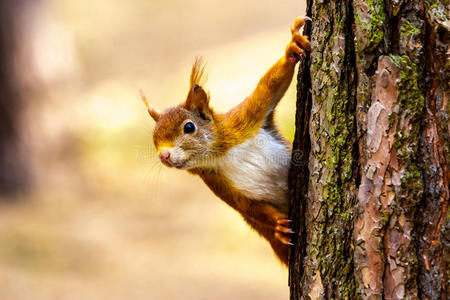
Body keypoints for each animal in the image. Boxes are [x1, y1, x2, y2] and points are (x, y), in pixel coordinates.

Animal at [141, 16, 310, 264]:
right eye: (154, 139)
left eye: (189, 127)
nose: (164, 155)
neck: (222, 154)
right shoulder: (218, 183)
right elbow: (250, 207)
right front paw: (279, 225)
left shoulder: (245, 120)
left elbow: (270, 85)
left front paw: (292, 47)